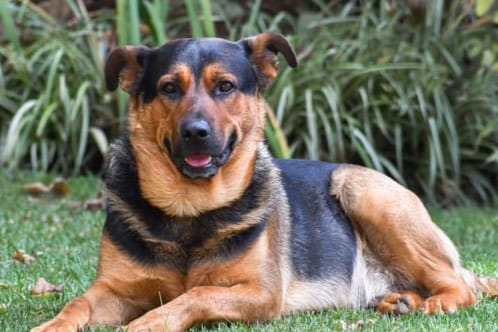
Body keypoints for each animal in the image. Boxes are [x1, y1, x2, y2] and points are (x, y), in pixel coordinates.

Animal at [32, 31, 498, 332]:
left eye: (224, 86)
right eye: (168, 88)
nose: (196, 132)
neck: (190, 209)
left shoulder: (260, 293)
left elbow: (195, 295)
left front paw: (145, 324)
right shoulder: (113, 289)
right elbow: (76, 303)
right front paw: (51, 325)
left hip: (363, 189)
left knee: (460, 287)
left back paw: (434, 302)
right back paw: (399, 300)